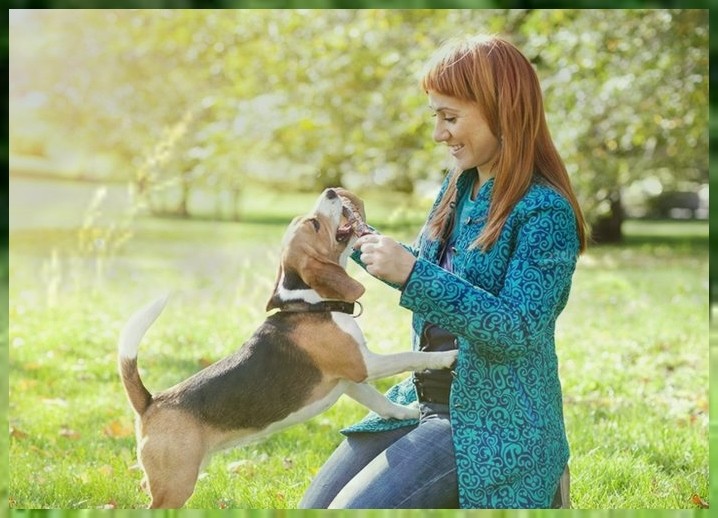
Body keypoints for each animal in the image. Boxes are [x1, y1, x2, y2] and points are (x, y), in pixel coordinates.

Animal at [117, 189, 456, 510]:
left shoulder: (350, 380)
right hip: (177, 483)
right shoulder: (363, 365)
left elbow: (382, 404)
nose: (331, 190)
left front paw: (406, 413)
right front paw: (446, 357)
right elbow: (409, 357)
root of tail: (151, 402)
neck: (312, 303)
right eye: (315, 224)